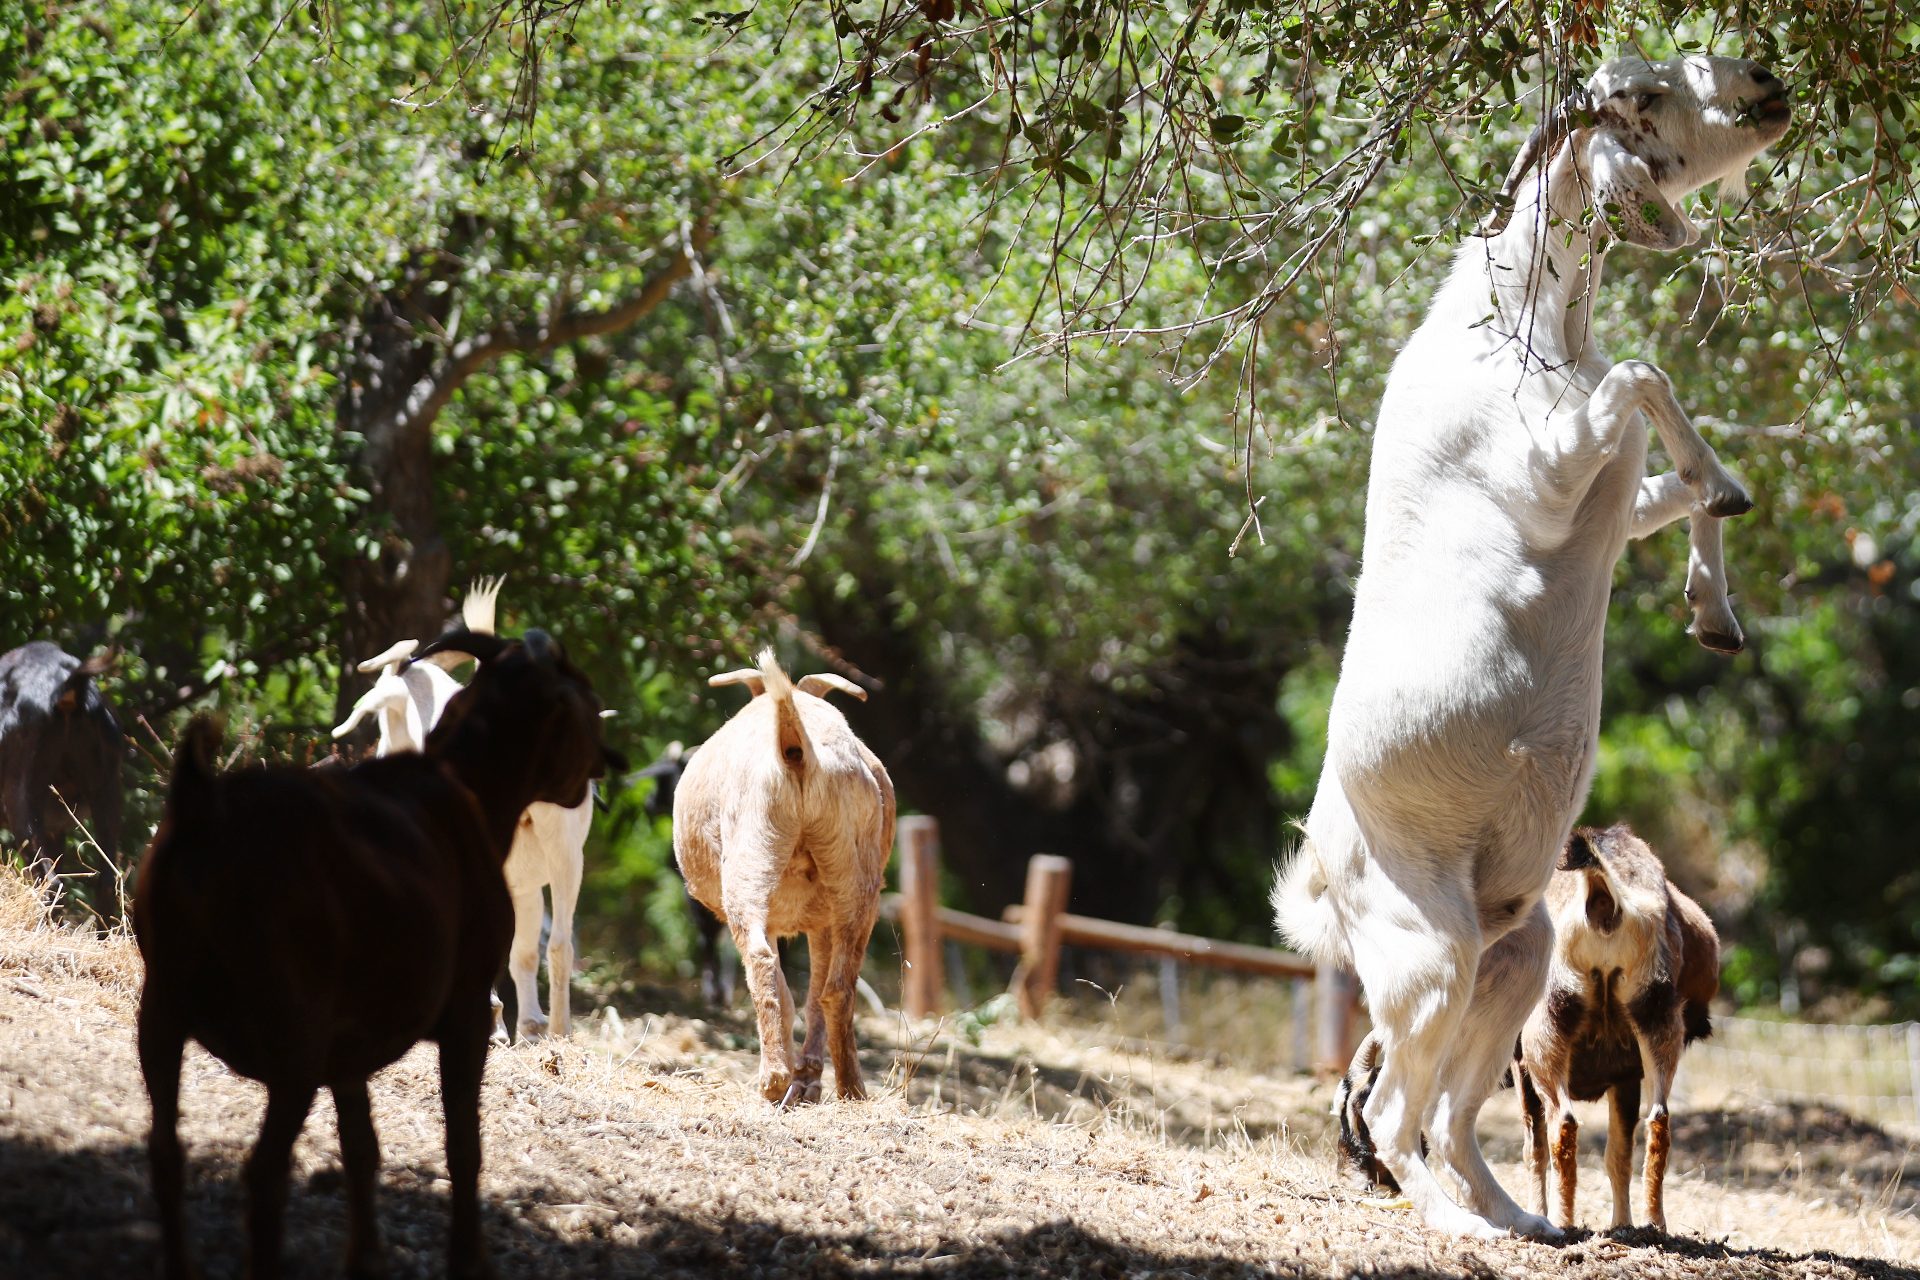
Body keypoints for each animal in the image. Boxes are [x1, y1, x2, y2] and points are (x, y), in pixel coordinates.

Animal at [135, 629, 614, 1280]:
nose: (603, 766)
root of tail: (204, 811)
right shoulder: (447, 1011)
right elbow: (457, 1141)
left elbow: (364, 1147)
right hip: (288, 1042)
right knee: (257, 1169)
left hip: (172, 1014)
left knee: (170, 1150)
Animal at [1512, 825, 1728, 1235]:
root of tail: (1602, 897)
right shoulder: (1625, 1074)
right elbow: (1618, 1153)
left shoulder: (1521, 1066)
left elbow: (1534, 1146)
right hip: (1656, 1019)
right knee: (1658, 1121)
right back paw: (1651, 1224)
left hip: (1547, 1029)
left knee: (1562, 1125)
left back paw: (1563, 1222)